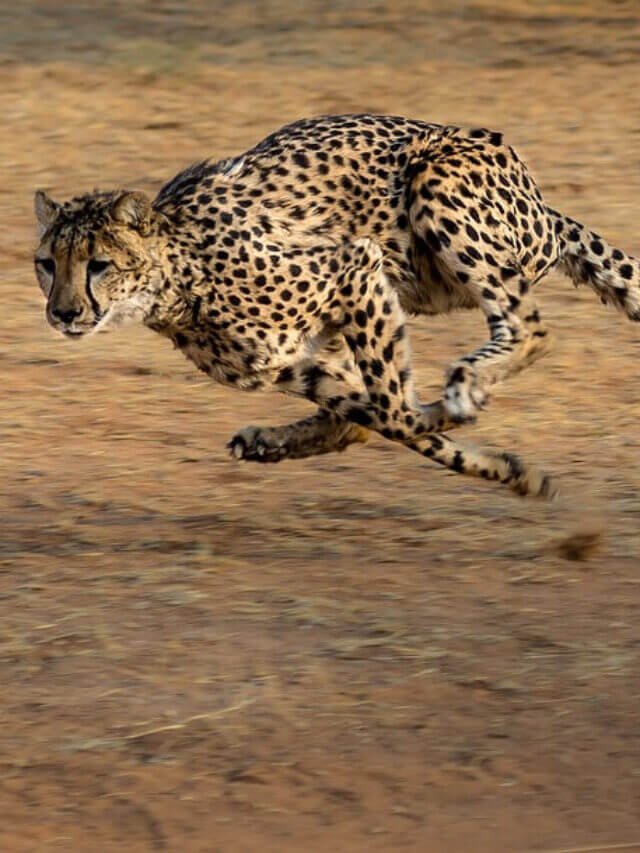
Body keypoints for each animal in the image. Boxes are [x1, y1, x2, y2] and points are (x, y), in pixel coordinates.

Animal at [33, 114, 640, 499]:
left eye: (98, 264)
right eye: (46, 264)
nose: (63, 313)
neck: (175, 279)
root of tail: (543, 205)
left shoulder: (356, 267)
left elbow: (395, 414)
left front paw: (454, 415)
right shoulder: (292, 362)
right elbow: (374, 420)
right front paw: (509, 469)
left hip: (435, 185)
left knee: (531, 327)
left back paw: (467, 385)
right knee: (357, 421)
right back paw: (269, 442)